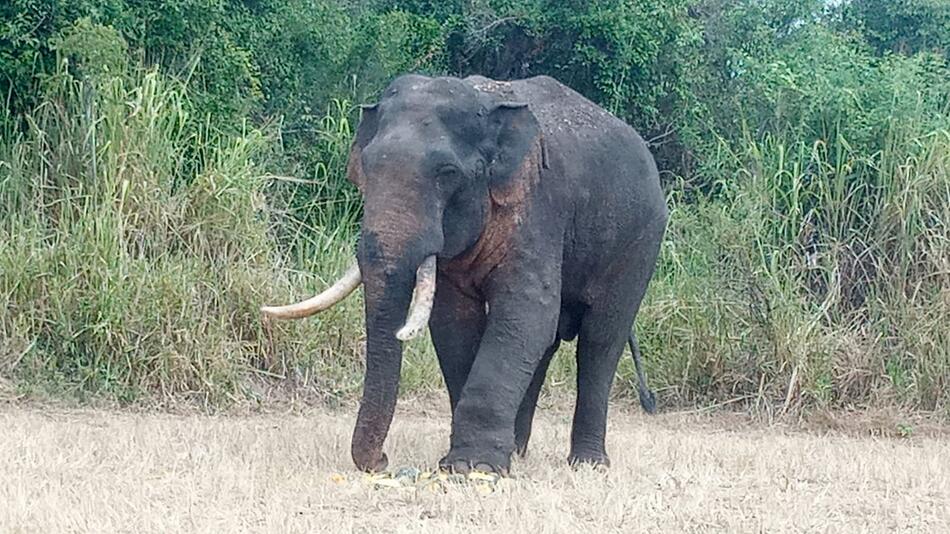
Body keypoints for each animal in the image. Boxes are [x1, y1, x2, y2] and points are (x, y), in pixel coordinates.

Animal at [262, 73, 668, 476]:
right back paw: (519, 451)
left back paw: (588, 464)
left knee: (601, 339)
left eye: (448, 174)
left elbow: (526, 312)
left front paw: (474, 468)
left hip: (640, 243)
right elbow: (455, 322)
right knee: (550, 343)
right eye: (366, 168)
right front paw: (465, 462)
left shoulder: (538, 209)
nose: (383, 462)